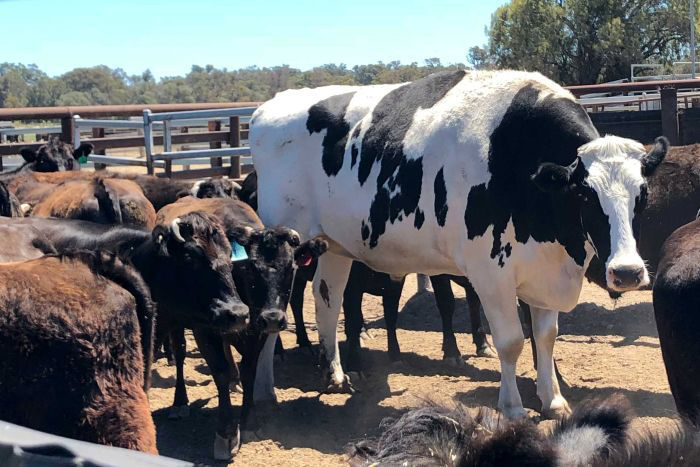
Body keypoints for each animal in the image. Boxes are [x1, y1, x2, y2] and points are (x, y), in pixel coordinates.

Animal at [252, 70, 668, 420]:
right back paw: (265, 390)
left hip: (335, 245)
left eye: (643, 194)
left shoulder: (545, 270)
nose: (627, 272)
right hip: (285, 243)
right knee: (278, 309)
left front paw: (553, 400)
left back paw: (336, 375)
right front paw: (512, 407)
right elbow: (511, 341)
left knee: (327, 299)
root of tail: (268, 107)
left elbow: (545, 337)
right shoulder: (490, 273)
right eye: (584, 194)